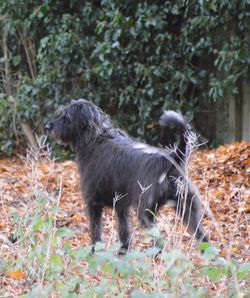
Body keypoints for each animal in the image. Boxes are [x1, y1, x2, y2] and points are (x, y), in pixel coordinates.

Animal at [45, 99, 209, 253]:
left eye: (66, 117)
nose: (47, 127)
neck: (96, 136)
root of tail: (171, 158)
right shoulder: (121, 206)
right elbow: (124, 232)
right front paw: (124, 252)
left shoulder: (93, 203)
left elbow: (96, 231)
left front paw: (94, 253)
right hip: (188, 208)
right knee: (203, 237)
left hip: (146, 213)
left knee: (161, 243)